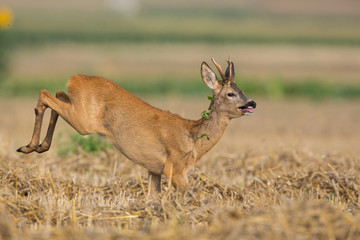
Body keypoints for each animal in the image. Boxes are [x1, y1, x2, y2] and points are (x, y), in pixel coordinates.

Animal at [16, 58, 256, 195]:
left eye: (242, 90)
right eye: (231, 93)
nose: (252, 103)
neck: (193, 139)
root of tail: (74, 78)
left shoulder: (154, 170)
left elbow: (154, 198)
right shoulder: (175, 168)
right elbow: (192, 195)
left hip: (77, 109)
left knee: (56, 94)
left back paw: (38, 146)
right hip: (84, 121)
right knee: (45, 94)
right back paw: (28, 146)